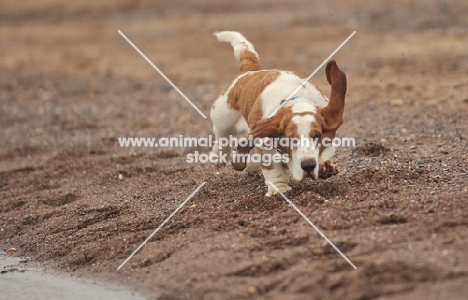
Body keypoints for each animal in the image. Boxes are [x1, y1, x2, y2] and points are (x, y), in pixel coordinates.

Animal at [210, 31, 346, 197]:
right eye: (291, 139)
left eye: (316, 136)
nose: (308, 166)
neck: (294, 99)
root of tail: (249, 72)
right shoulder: (265, 145)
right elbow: (274, 171)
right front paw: (279, 189)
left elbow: (326, 150)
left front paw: (325, 165)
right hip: (222, 117)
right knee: (222, 138)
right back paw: (218, 158)